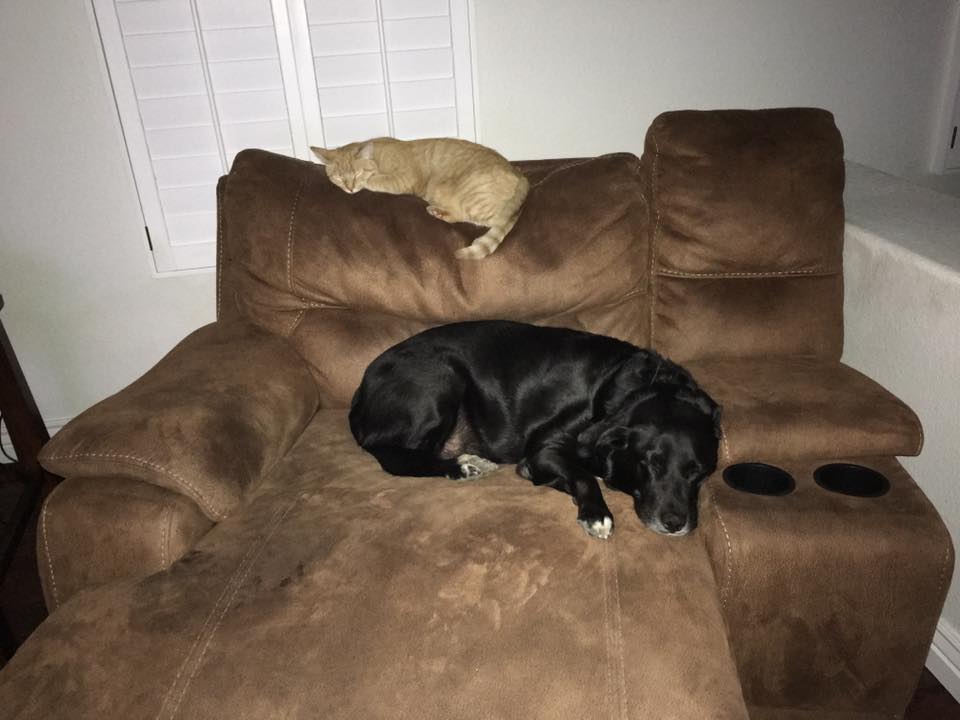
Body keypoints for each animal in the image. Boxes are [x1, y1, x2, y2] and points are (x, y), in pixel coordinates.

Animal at [312, 137, 528, 258]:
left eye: (357, 174)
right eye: (339, 177)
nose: (349, 189)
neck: (379, 157)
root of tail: (519, 174)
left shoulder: (402, 179)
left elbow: (374, 180)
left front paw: (368, 180)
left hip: (473, 200)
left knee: (501, 221)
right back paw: (437, 212)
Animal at [350, 322, 720, 540]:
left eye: (699, 472)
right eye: (649, 464)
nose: (675, 524)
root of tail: (360, 390)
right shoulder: (544, 448)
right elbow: (583, 475)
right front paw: (596, 513)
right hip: (442, 377)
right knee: (393, 456)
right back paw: (462, 466)